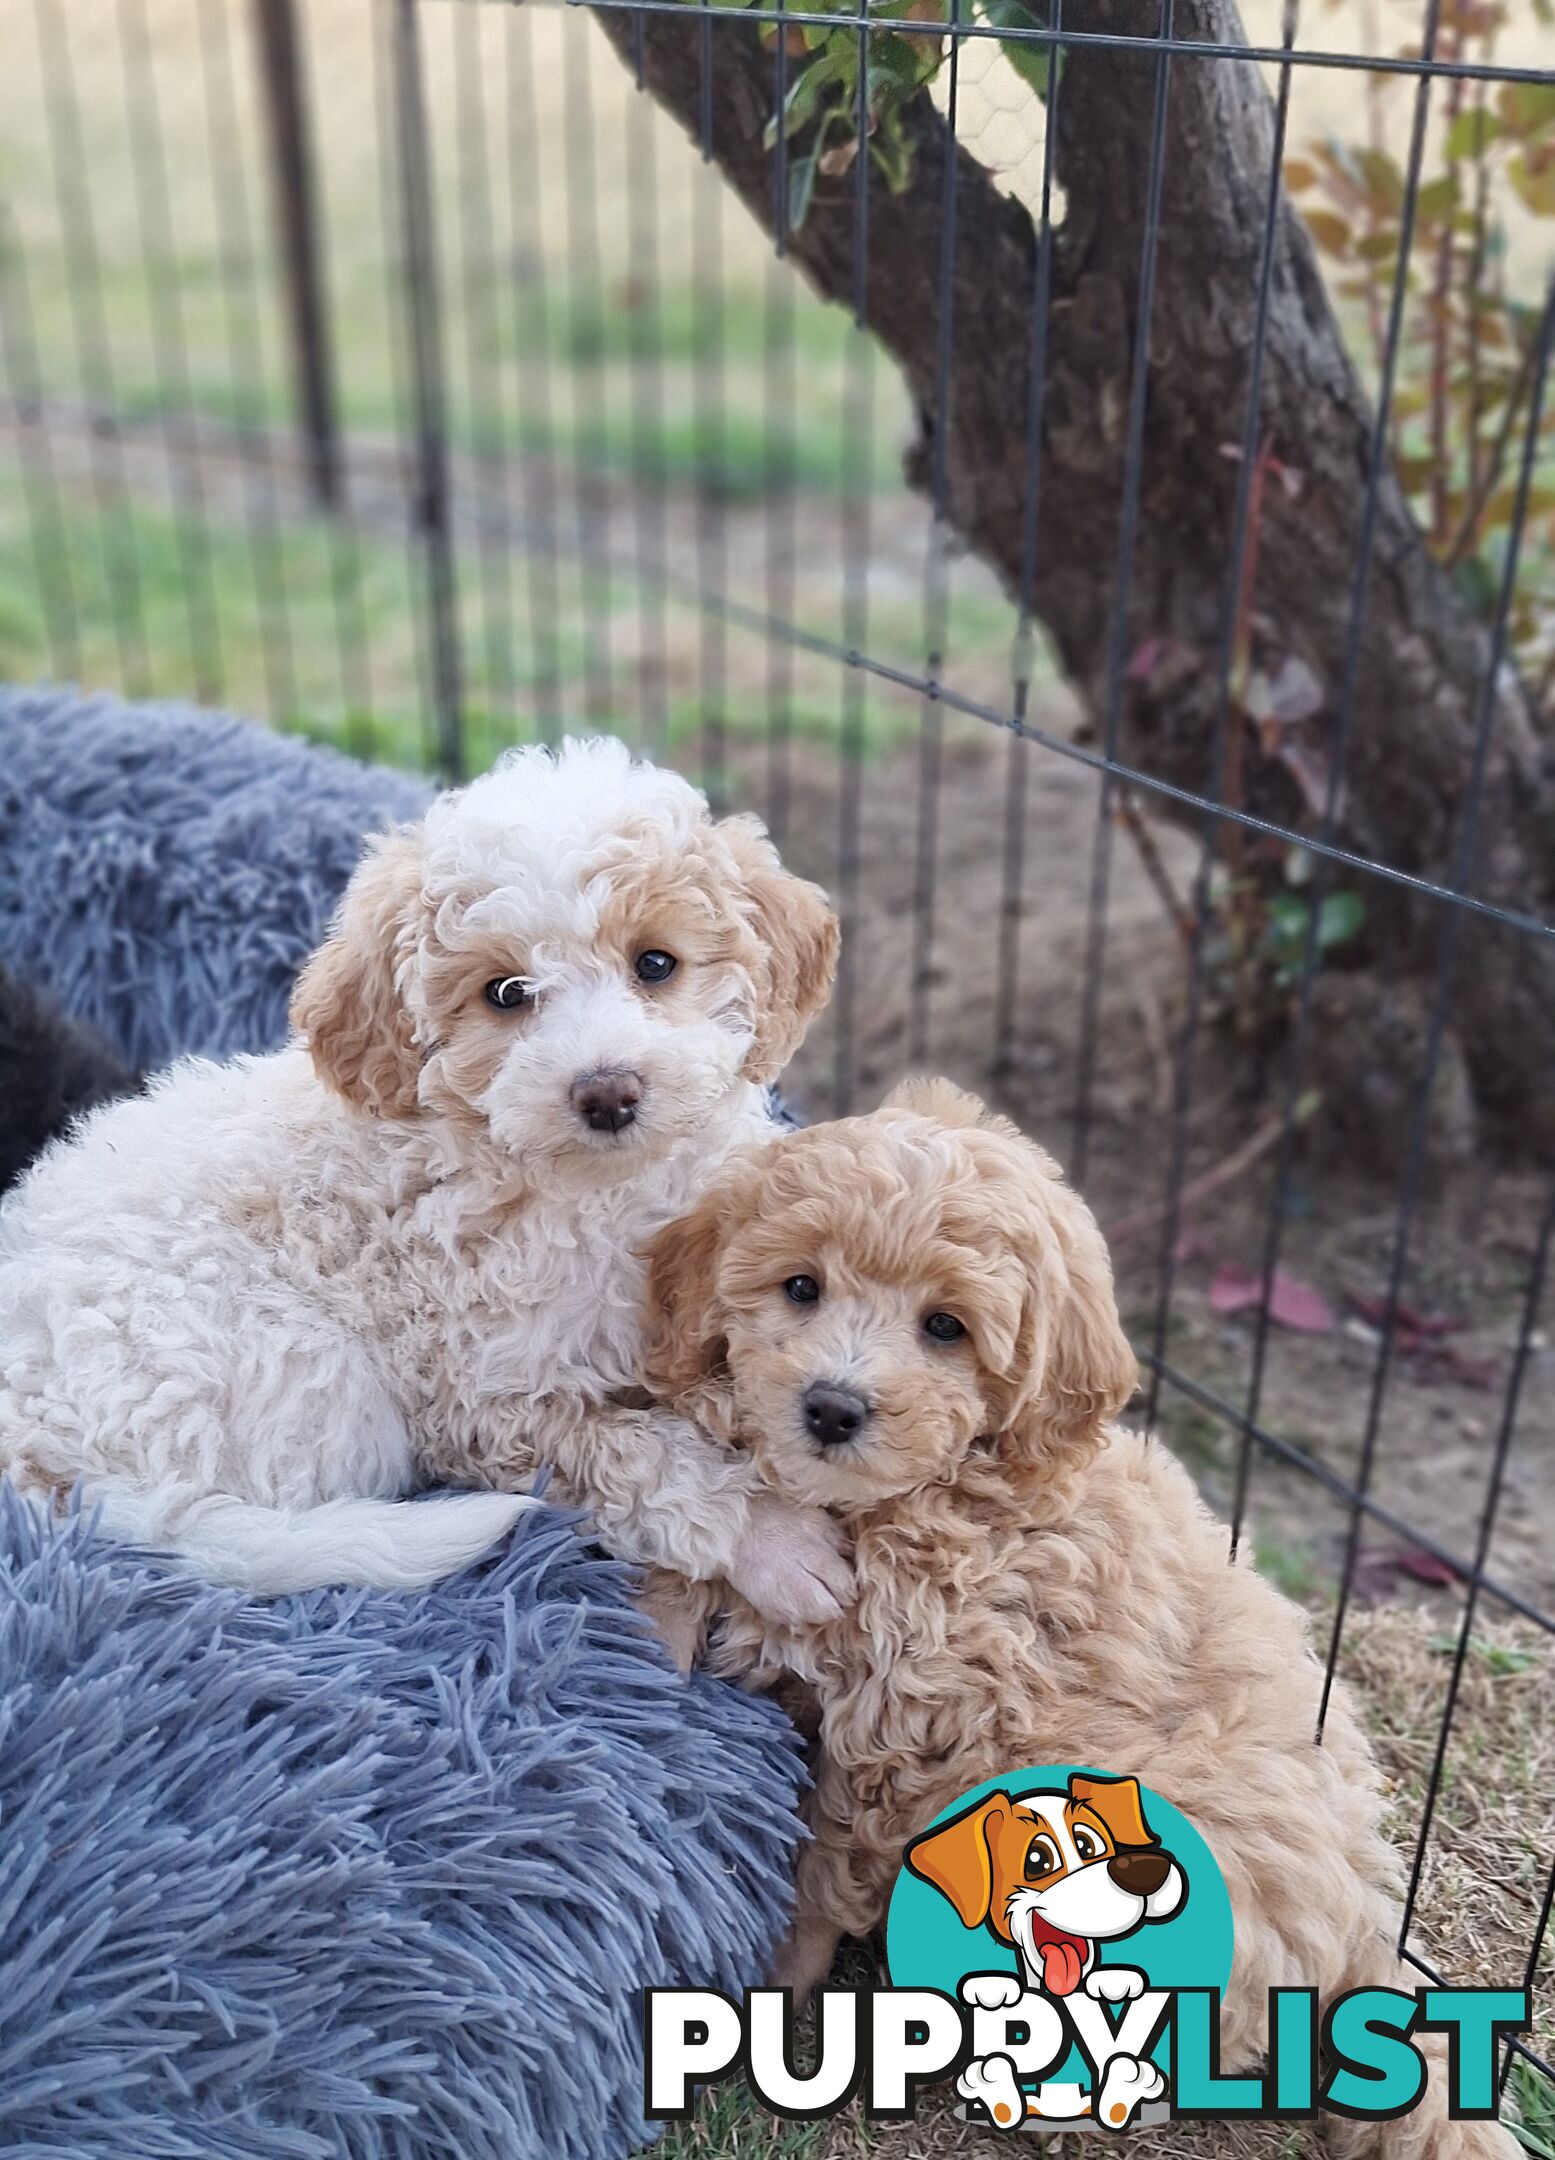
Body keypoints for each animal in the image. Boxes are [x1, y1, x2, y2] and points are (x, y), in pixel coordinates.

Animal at [3, 738, 850, 1624]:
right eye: (506, 993)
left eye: (655, 964)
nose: (607, 1092)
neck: (599, 1193)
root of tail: (40, 1452)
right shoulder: (487, 1403)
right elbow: (641, 1457)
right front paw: (774, 1540)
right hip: (312, 1371)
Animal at [639, 1080, 1520, 2160]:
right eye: (799, 1287)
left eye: (945, 1328)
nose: (833, 1409)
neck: (906, 1503)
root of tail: (1368, 1914)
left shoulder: (908, 1728)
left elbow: (826, 1860)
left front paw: (777, 1985)